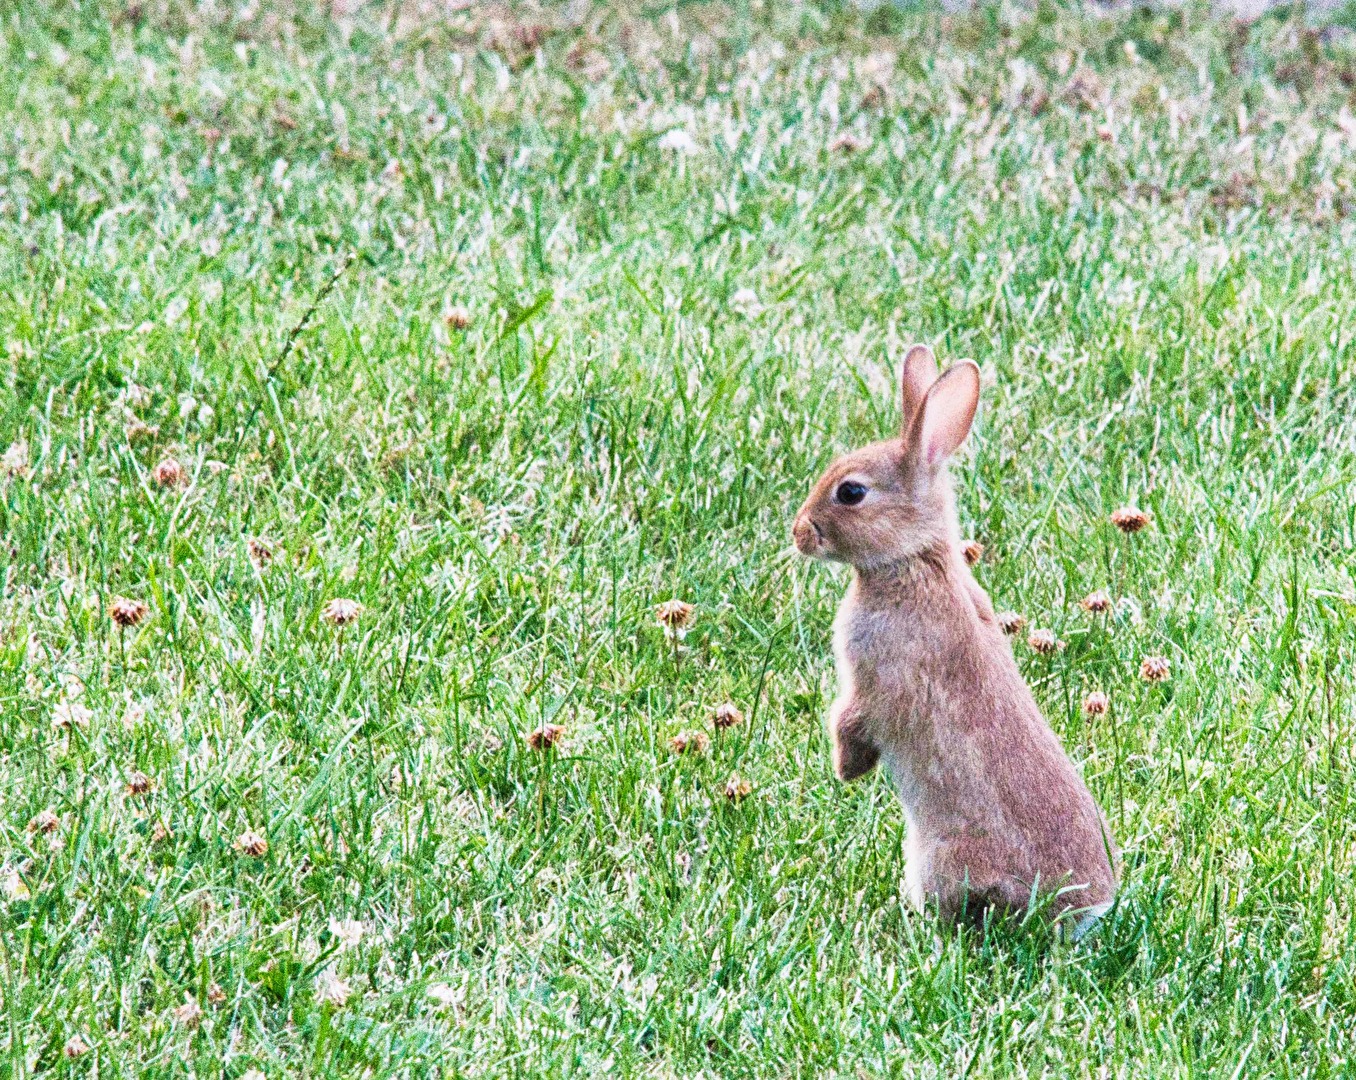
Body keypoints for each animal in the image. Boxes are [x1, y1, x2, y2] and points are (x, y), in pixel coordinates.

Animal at [791, 345, 1117, 938]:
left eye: (851, 492)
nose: (800, 533)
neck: (913, 561)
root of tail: (1083, 912)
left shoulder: (876, 678)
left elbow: (851, 717)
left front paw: (846, 768)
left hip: (937, 854)